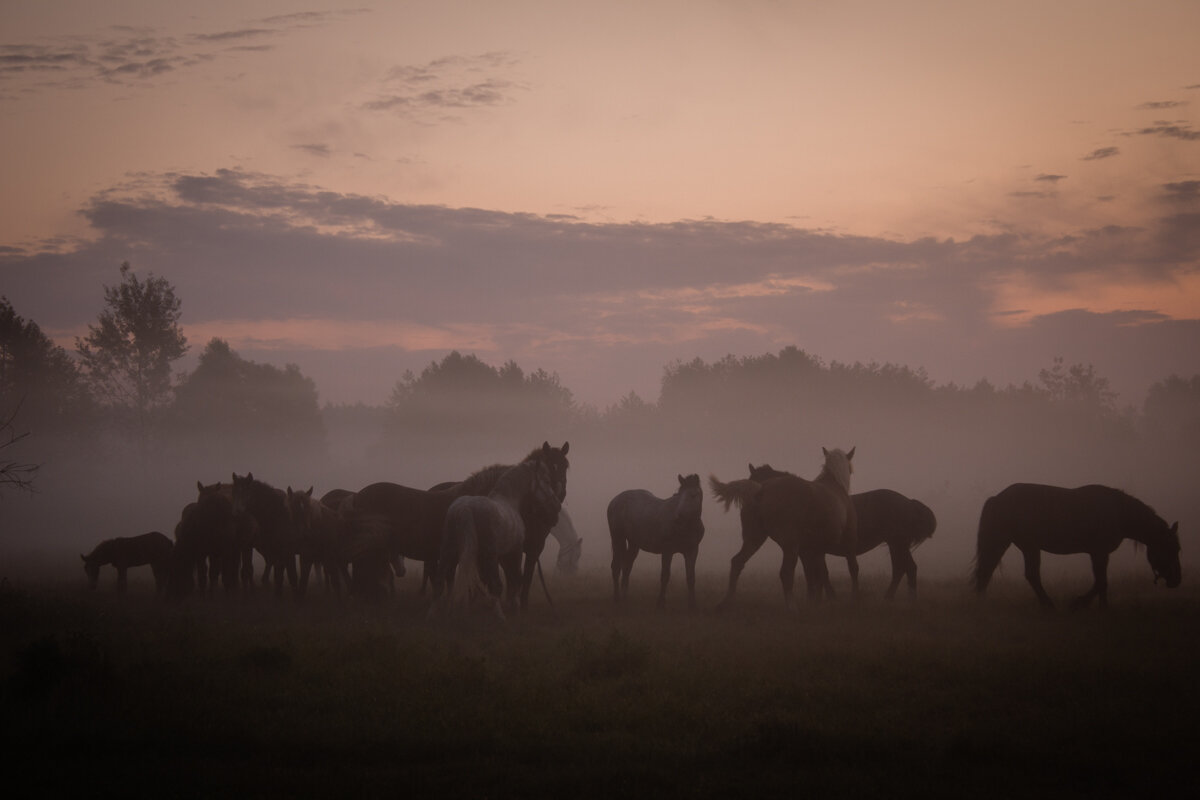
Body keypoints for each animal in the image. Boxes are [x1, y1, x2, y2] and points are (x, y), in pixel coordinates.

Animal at [432, 455, 561, 618]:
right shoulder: (515, 551)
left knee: (439, 583)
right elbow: (515, 579)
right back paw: (501, 618)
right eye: (546, 481)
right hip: (489, 555)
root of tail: (465, 509)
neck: (509, 500)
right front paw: (515, 608)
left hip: (448, 551)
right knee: (495, 586)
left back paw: (432, 615)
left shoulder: (503, 556)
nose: (556, 507)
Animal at [609, 472, 700, 609]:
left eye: (693, 495)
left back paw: (625, 597)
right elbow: (665, 576)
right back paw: (616, 598)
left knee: (627, 567)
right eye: (679, 494)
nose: (678, 518)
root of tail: (615, 500)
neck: (686, 526)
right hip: (617, 538)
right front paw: (660, 603)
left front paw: (692, 605)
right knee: (616, 567)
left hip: (634, 544)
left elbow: (691, 577)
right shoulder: (667, 551)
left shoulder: (692, 551)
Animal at [705, 448, 859, 609]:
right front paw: (853, 599)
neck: (835, 487)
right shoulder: (848, 541)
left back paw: (725, 602)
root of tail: (761, 489)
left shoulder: (814, 549)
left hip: (754, 539)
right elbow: (851, 569)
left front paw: (817, 602)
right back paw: (792, 607)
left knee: (737, 562)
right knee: (786, 572)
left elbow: (817, 574)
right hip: (789, 545)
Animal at [739, 462, 936, 599]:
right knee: (902, 569)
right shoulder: (810, 551)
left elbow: (817, 574)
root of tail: (909, 502)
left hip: (898, 543)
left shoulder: (808, 551)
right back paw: (890, 598)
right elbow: (818, 574)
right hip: (896, 544)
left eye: (755, 483)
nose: (748, 508)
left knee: (907, 568)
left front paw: (825, 597)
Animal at [974, 484, 1180, 609]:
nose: (1176, 580)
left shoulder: (1100, 553)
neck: (1118, 513)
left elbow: (1101, 581)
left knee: (993, 570)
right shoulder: (1099, 552)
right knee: (1028, 575)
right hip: (1027, 546)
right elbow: (1101, 582)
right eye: (1171, 548)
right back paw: (1049, 606)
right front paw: (1079, 603)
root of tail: (998, 498)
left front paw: (1102, 607)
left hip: (1017, 545)